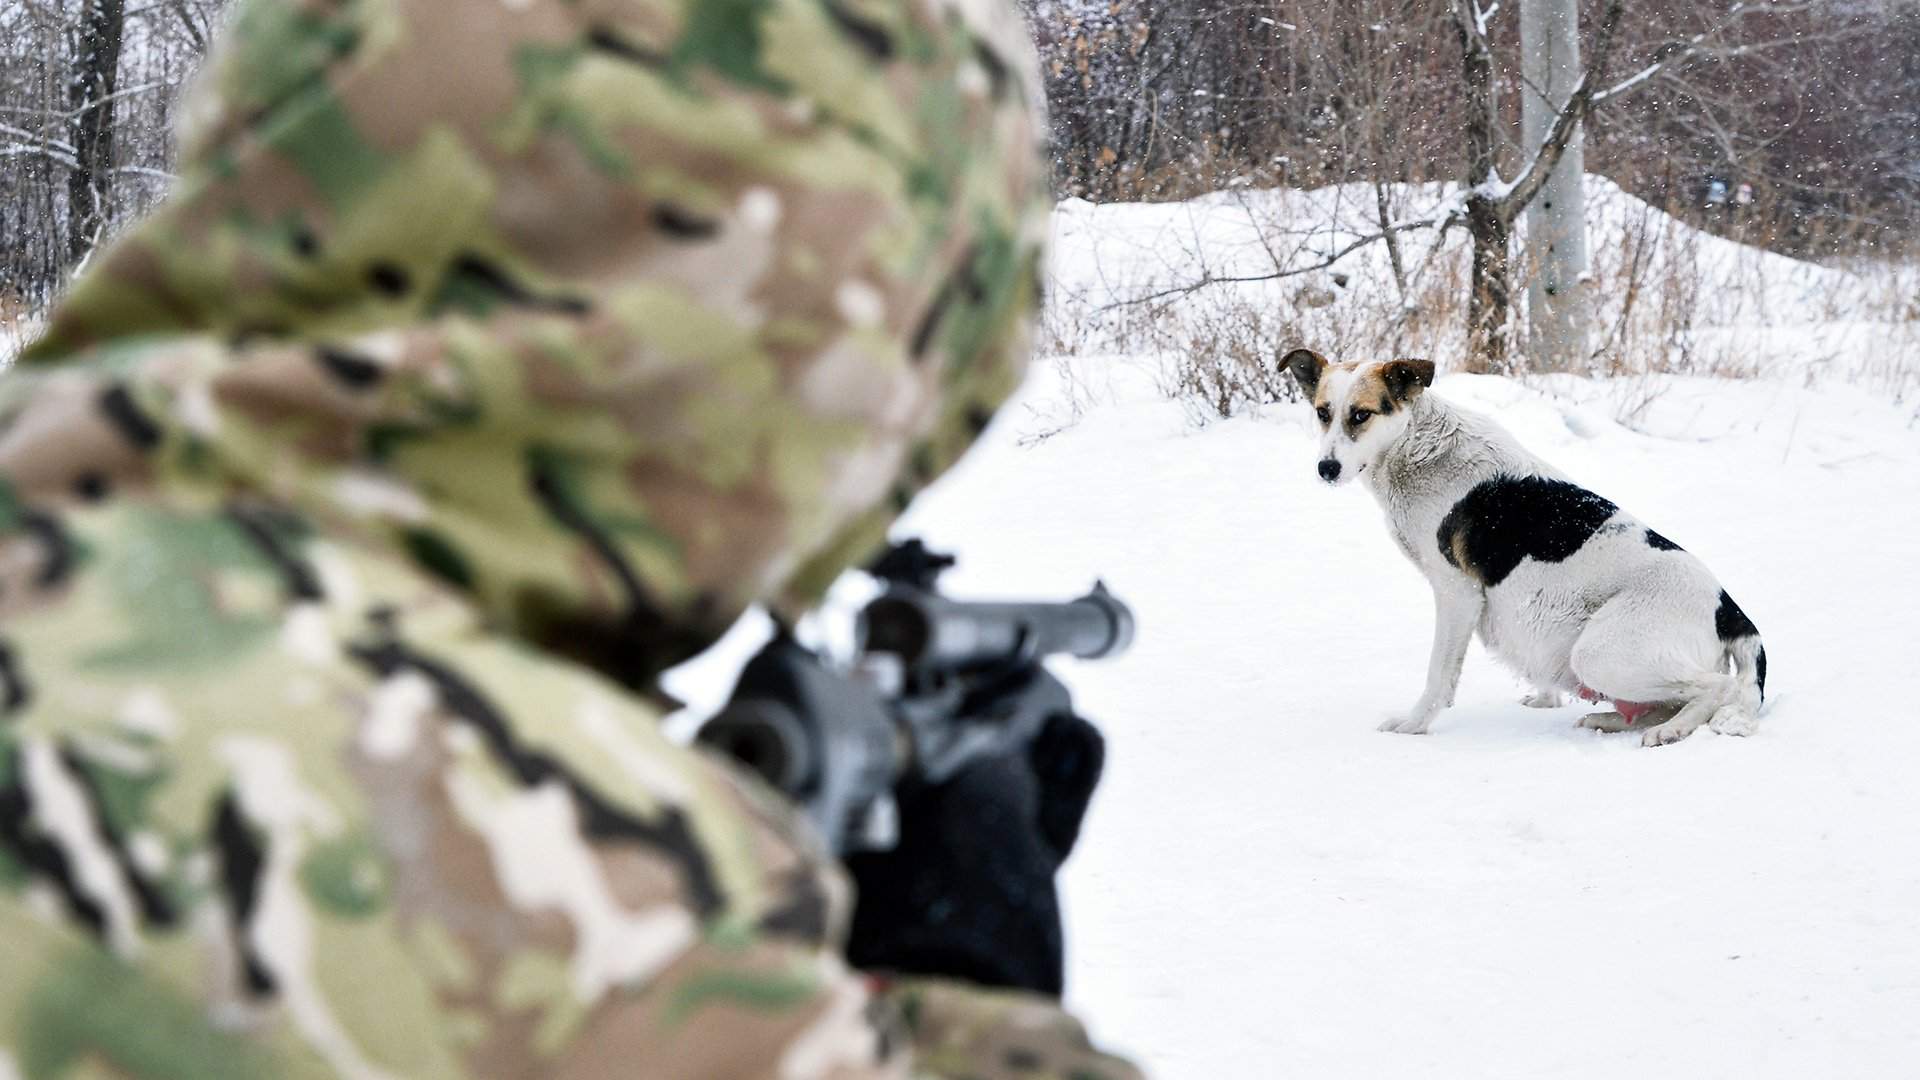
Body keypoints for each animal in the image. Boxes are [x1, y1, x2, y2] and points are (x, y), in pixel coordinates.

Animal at [1290, 349, 1766, 745]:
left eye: (1361, 415)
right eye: (1323, 413)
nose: (1326, 468)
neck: (1418, 448)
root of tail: (1729, 610)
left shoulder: (1458, 595)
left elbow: (1438, 676)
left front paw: (1415, 724)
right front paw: (1545, 701)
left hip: (1600, 653)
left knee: (1716, 688)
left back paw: (1672, 730)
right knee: (1662, 703)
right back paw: (1610, 720)